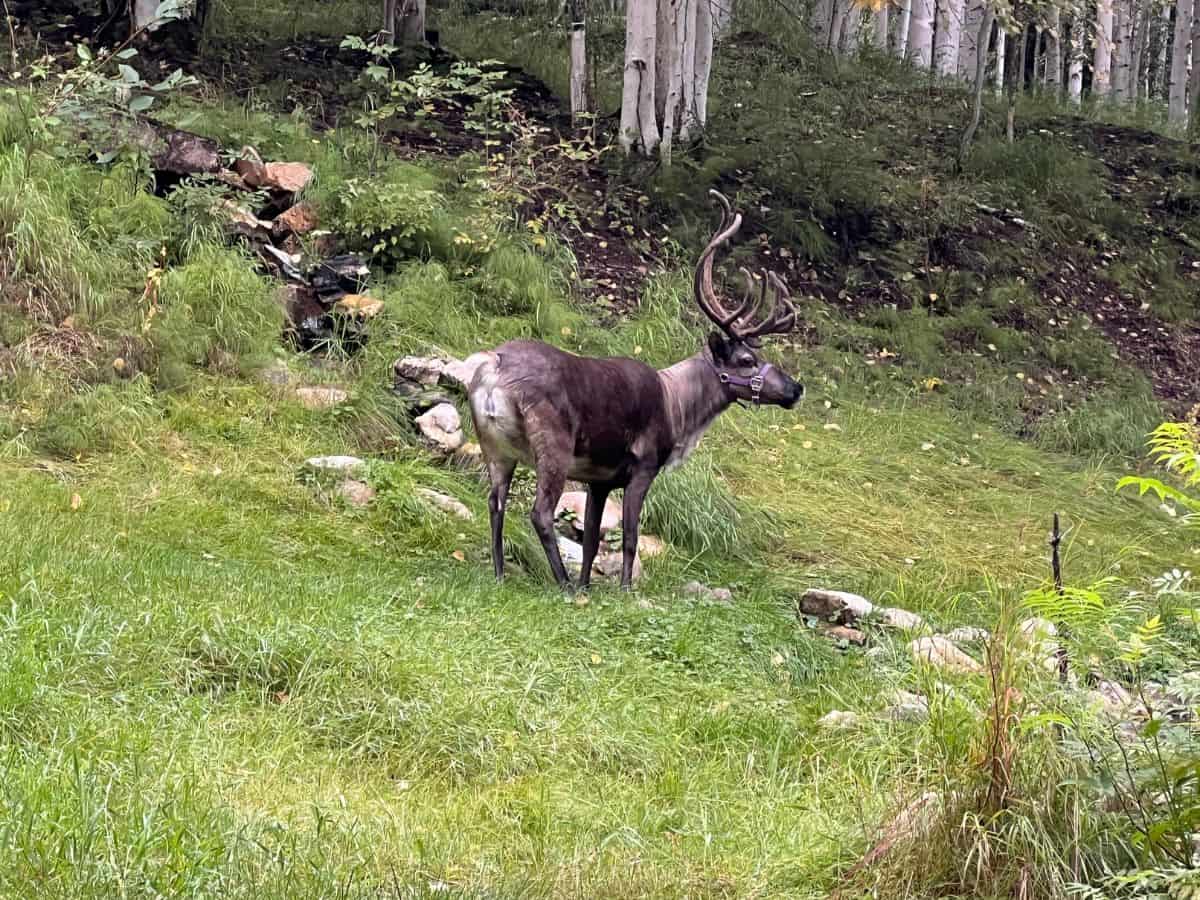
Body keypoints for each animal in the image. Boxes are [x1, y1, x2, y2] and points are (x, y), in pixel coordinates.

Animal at [466, 190, 804, 592]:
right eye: (747, 359)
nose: (796, 388)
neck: (678, 409)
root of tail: (492, 373)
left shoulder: (598, 481)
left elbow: (592, 539)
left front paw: (588, 586)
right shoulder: (643, 465)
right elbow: (630, 536)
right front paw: (624, 590)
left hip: (495, 445)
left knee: (495, 503)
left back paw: (501, 575)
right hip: (554, 444)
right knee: (540, 513)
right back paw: (562, 584)